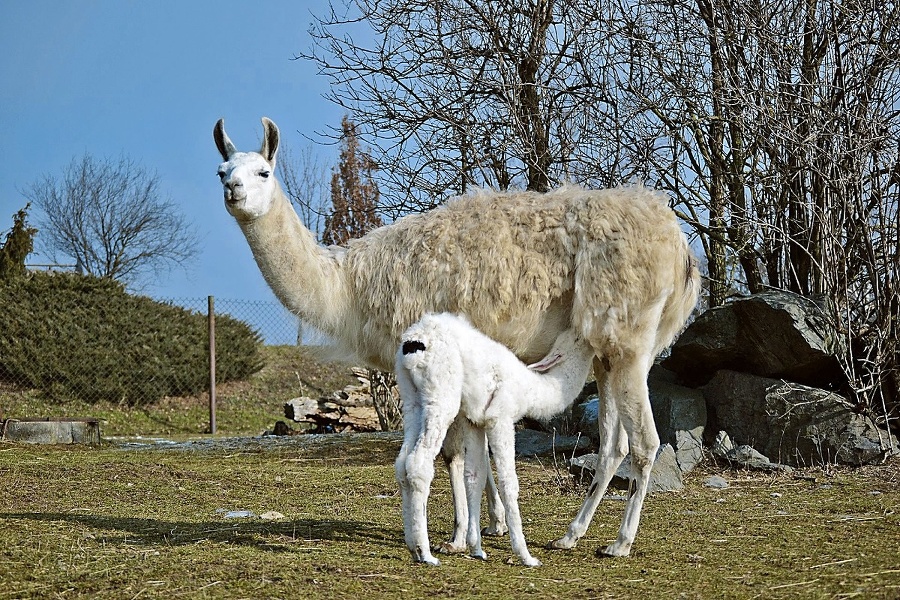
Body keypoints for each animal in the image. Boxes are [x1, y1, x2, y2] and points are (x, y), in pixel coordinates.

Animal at [396, 314, 596, 568]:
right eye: (578, 338)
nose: (594, 340)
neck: (531, 388)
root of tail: (414, 341)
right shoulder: (500, 419)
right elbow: (509, 483)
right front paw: (526, 556)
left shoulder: (474, 421)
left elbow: (474, 476)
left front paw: (476, 549)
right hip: (440, 399)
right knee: (418, 464)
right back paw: (426, 553)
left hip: (412, 400)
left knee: (402, 464)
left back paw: (413, 547)